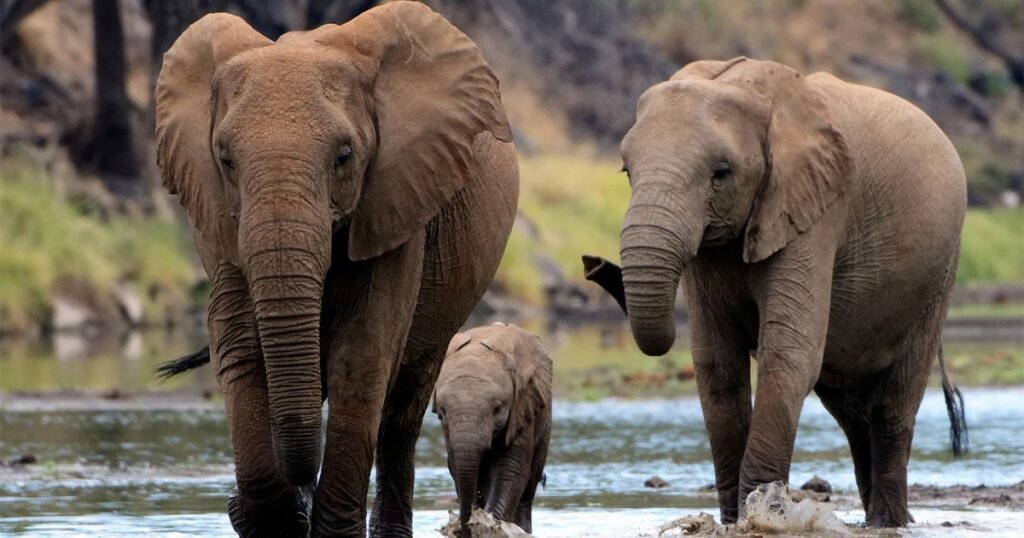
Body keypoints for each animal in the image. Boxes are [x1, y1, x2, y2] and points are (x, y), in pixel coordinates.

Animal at [153, 3, 518, 536]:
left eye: (344, 157)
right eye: (225, 159)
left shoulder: (399, 202)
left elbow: (362, 356)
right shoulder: (219, 223)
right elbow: (241, 348)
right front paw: (272, 513)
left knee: (401, 413)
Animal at [432, 322, 552, 535]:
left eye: (497, 409)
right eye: (443, 411)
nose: (463, 528)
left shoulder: (522, 407)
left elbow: (510, 469)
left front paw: (489, 525)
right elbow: (455, 465)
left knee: (528, 489)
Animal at [582, 57, 968, 527]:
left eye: (721, 173)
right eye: (627, 172)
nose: (592, 264)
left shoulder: (815, 213)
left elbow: (787, 354)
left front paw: (762, 512)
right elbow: (716, 364)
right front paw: (735, 519)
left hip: (938, 275)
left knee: (894, 404)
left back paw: (889, 522)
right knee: (851, 410)